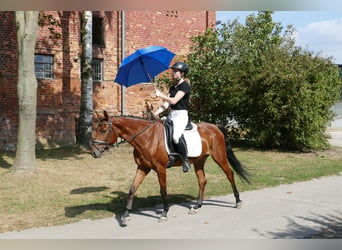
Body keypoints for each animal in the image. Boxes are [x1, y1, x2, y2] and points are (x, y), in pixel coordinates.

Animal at [92, 110, 250, 226]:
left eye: (104, 129)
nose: (94, 152)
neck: (147, 137)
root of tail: (215, 127)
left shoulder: (160, 168)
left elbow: (163, 191)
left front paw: (164, 213)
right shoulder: (142, 168)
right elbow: (132, 189)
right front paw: (125, 216)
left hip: (219, 157)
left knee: (230, 174)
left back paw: (238, 201)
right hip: (199, 161)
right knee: (202, 180)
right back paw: (197, 206)